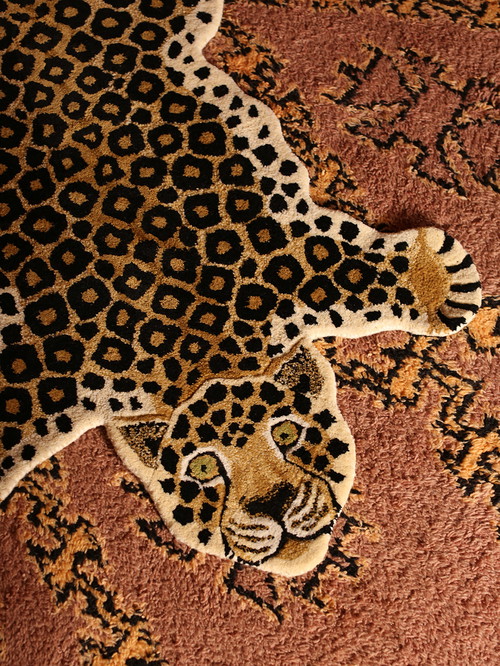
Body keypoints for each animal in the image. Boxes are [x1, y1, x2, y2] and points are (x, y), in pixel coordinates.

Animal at [0, 0, 481, 575]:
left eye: (288, 433)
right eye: (204, 468)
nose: (273, 504)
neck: (187, 350)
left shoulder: (280, 261)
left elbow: (347, 270)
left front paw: (443, 279)